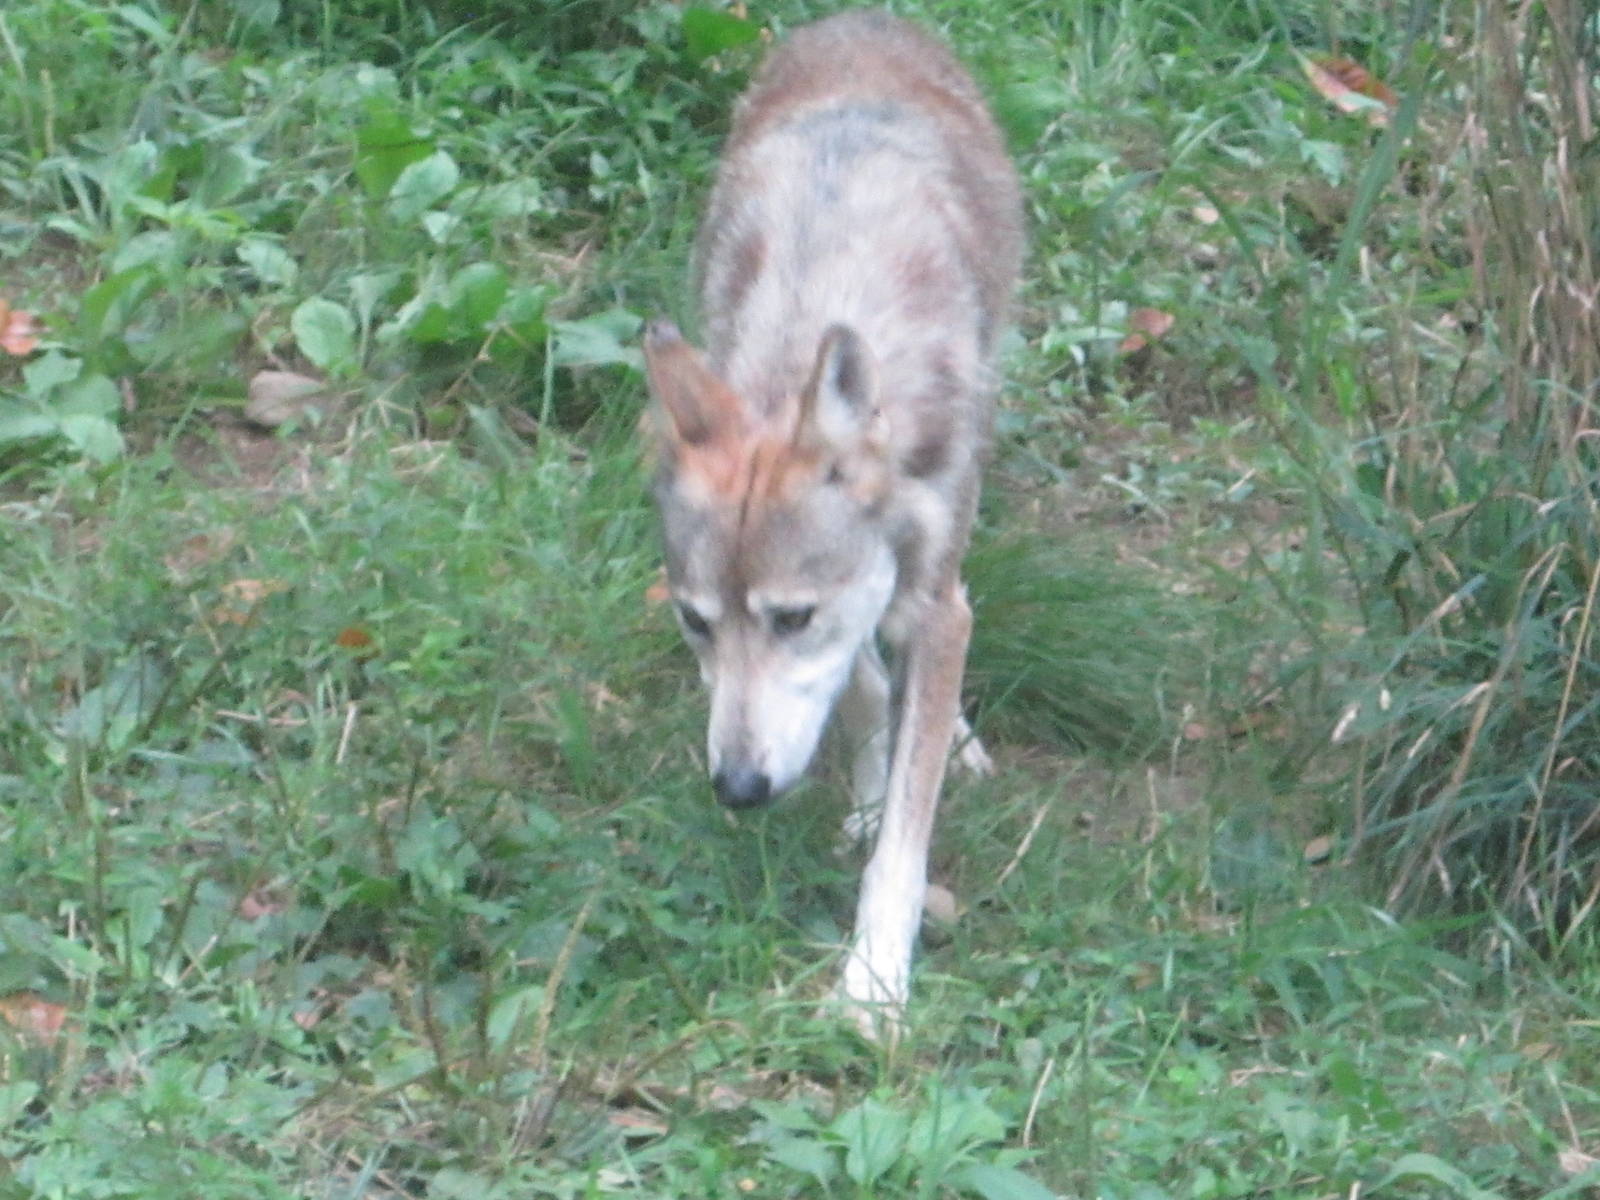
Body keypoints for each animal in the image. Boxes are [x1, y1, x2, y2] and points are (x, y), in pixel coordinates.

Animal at [642, 9, 1022, 1032]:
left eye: (790, 619)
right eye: (696, 624)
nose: (737, 789)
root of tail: (865, 20)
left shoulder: (932, 602)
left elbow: (905, 838)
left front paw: (874, 984)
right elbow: (861, 688)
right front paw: (867, 784)